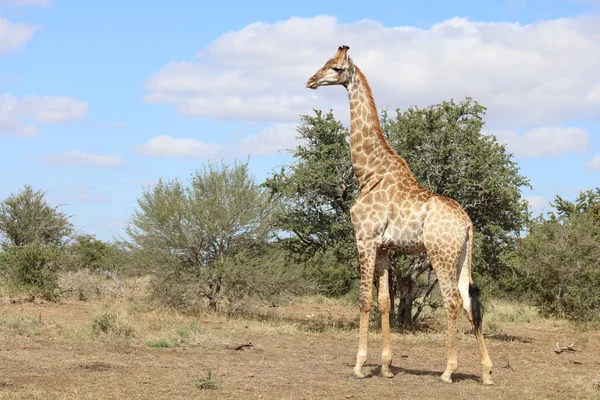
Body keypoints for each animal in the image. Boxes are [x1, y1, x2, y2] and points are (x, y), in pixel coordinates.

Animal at [308, 45, 494, 386]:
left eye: (336, 68)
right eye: (324, 63)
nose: (311, 81)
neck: (368, 173)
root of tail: (468, 222)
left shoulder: (364, 239)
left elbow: (364, 300)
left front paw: (359, 366)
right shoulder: (384, 247)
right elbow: (384, 302)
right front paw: (386, 366)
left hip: (440, 253)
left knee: (452, 300)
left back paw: (448, 371)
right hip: (463, 257)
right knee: (470, 300)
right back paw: (487, 372)